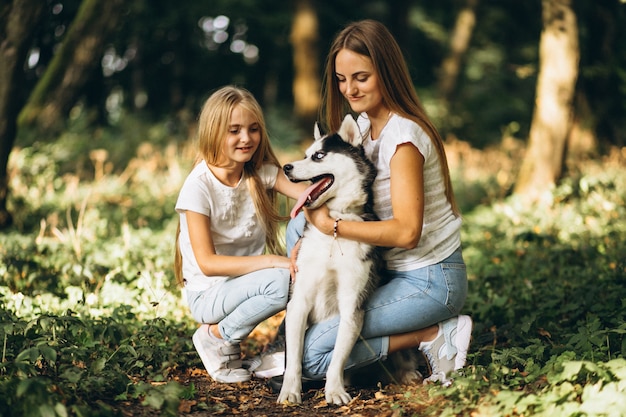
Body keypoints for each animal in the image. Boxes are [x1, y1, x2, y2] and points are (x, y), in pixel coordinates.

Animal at [278, 114, 380, 404]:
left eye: (319, 156)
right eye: (305, 155)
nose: (286, 167)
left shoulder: (351, 306)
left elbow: (337, 358)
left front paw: (334, 389)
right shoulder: (298, 300)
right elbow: (294, 359)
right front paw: (290, 391)